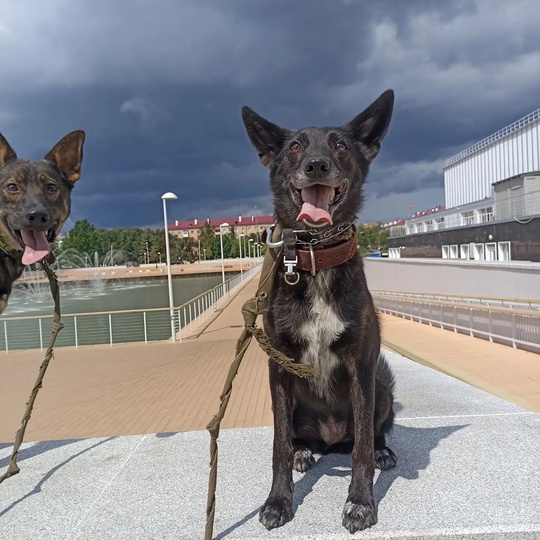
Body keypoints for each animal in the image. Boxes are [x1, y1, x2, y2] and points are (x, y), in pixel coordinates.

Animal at [243, 90, 398, 532]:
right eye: (295, 146)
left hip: (381, 386)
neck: (314, 257)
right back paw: (303, 450)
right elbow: (278, 446)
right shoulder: (279, 367)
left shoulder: (361, 366)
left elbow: (362, 447)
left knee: (370, 434)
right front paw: (278, 501)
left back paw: (383, 450)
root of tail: (330, 442)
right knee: (296, 439)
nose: (316, 165)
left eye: (340, 145)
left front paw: (360, 502)